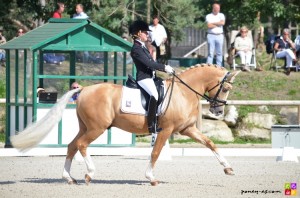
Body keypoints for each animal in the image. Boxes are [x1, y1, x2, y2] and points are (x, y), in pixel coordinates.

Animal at [11, 63, 239, 186]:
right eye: (226, 88)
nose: (218, 112)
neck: (183, 92)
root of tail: (83, 89)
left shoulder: (187, 129)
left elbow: (210, 143)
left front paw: (228, 168)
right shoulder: (166, 130)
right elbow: (156, 153)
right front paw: (151, 178)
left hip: (86, 126)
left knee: (72, 146)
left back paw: (69, 178)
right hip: (97, 128)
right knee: (82, 145)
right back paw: (89, 174)